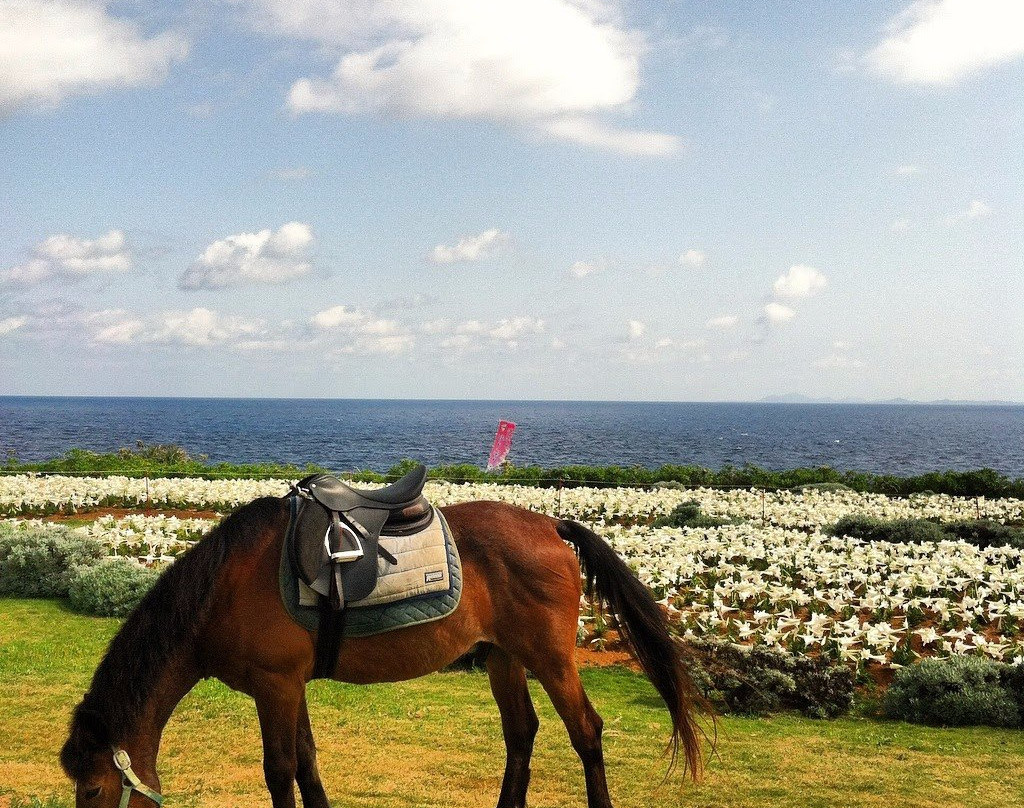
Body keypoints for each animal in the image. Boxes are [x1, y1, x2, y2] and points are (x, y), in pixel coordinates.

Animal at [59, 489, 708, 802]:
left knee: (586, 733)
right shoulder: (290, 687)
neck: (222, 587)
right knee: (521, 734)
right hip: (503, 657)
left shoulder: (274, 685)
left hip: (549, 657)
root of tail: (551, 524)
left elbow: (280, 771)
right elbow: (307, 764)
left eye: (92, 789)